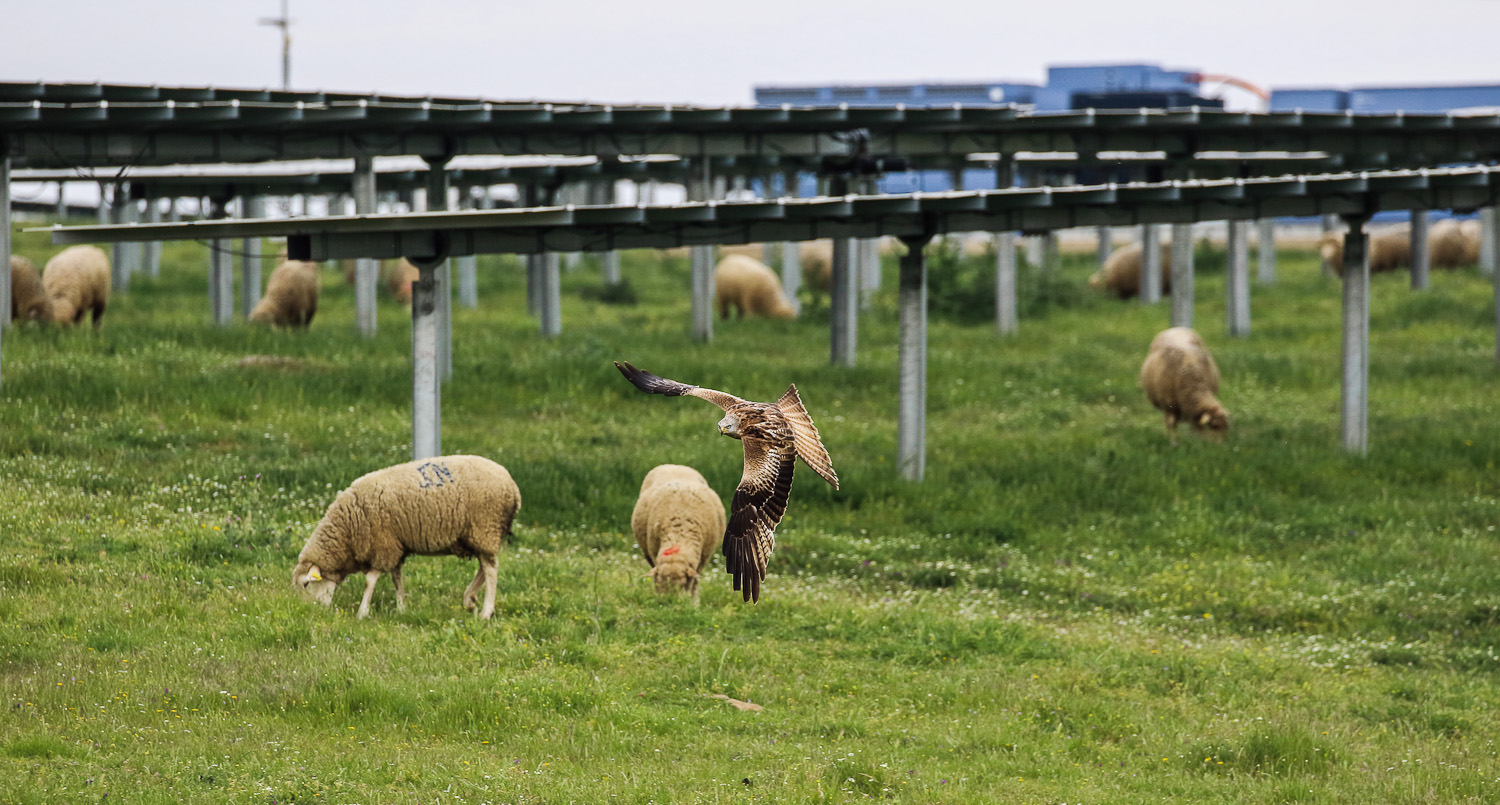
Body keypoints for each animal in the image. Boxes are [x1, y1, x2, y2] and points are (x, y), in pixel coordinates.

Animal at [291, 455, 522, 617]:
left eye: (306, 584)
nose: (307, 612)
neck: (347, 530)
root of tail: (512, 486)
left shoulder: (383, 545)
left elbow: (370, 581)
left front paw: (362, 612)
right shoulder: (395, 544)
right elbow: (396, 577)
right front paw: (401, 607)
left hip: (485, 526)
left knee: (491, 570)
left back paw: (485, 612)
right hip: (479, 534)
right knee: (485, 566)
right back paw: (469, 599)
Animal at [627, 461, 726, 599]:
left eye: (683, 584)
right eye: (660, 583)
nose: (669, 601)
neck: (679, 534)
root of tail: (673, 465)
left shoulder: (703, 559)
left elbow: (695, 581)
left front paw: (694, 600)